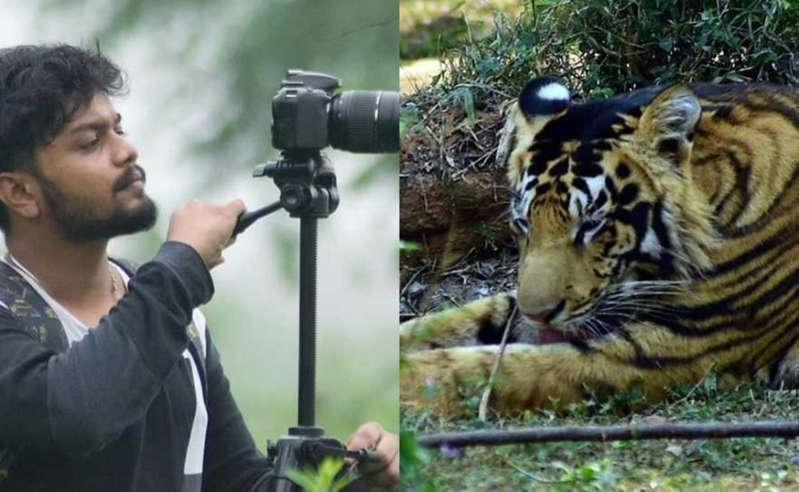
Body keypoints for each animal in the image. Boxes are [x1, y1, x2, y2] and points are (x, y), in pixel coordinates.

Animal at [400, 77, 799, 418]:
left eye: (591, 224)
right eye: (525, 223)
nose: (539, 316)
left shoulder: (675, 345)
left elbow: (488, 369)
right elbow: (448, 322)